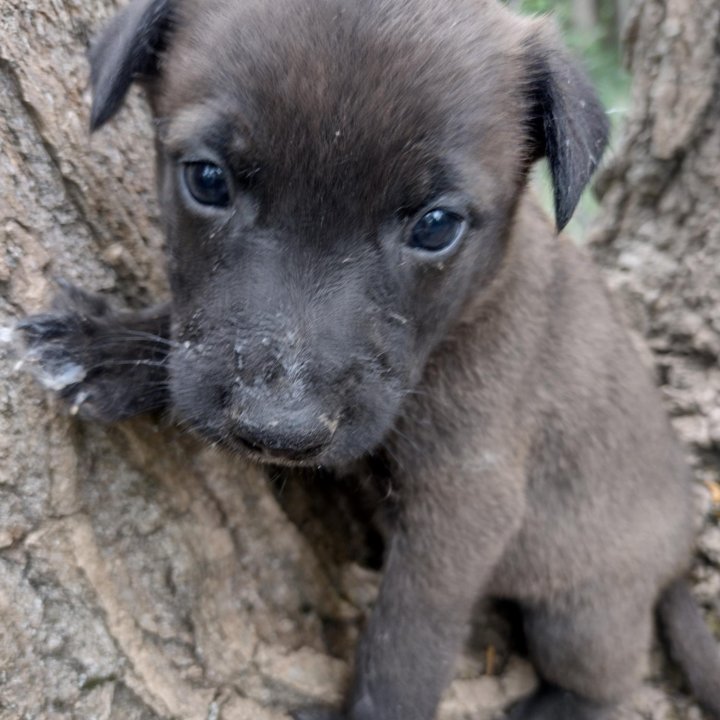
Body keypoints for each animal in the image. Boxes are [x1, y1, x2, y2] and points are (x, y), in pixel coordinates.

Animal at [16, 1, 720, 720]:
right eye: (207, 180)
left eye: (436, 226)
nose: (280, 429)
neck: (464, 318)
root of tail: (675, 558)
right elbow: (183, 342)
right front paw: (107, 348)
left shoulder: (465, 505)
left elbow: (402, 652)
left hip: (579, 614)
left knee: (609, 680)